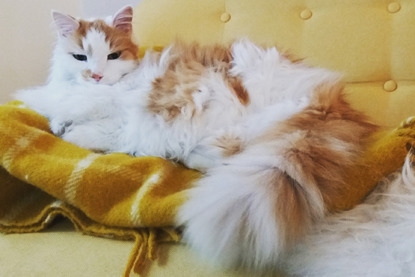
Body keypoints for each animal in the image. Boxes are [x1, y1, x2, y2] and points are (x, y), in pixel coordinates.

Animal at [16, 7, 380, 272]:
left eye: (113, 56)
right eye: (80, 57)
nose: (95, 75)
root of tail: (327, 99)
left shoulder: (123, 118)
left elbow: (87, 128)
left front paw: (70, 127)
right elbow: (60, 119)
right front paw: (59, 123)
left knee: (227, 150)